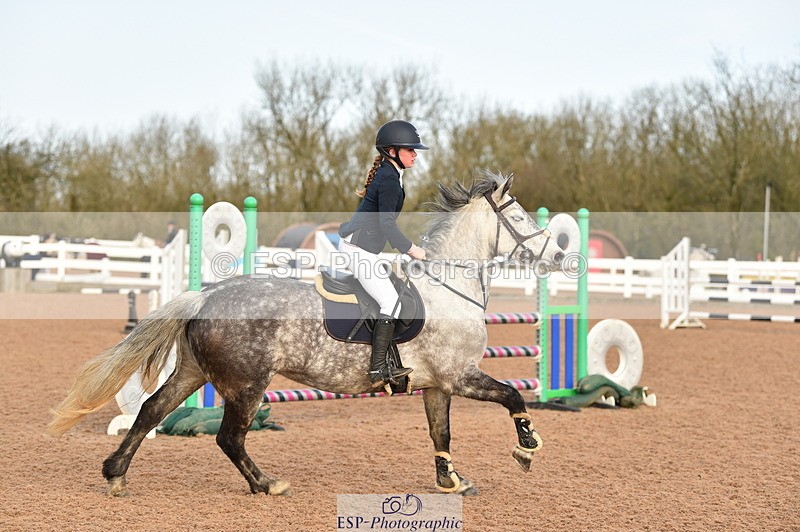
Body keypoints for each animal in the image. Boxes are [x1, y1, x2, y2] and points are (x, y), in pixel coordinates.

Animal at [47, 173, 565, 497]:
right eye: (520, 218)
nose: (558, 256)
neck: (448, 285)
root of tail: (205, 297)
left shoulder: (437, 384)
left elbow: (442, 433)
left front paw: (451, 482)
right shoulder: (460, 375)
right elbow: (513, 396)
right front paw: (527, 448)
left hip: (195, 373)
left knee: (152, 410)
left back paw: (116, 474)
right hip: (247, 385)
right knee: (229, 438)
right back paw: (266, 485)